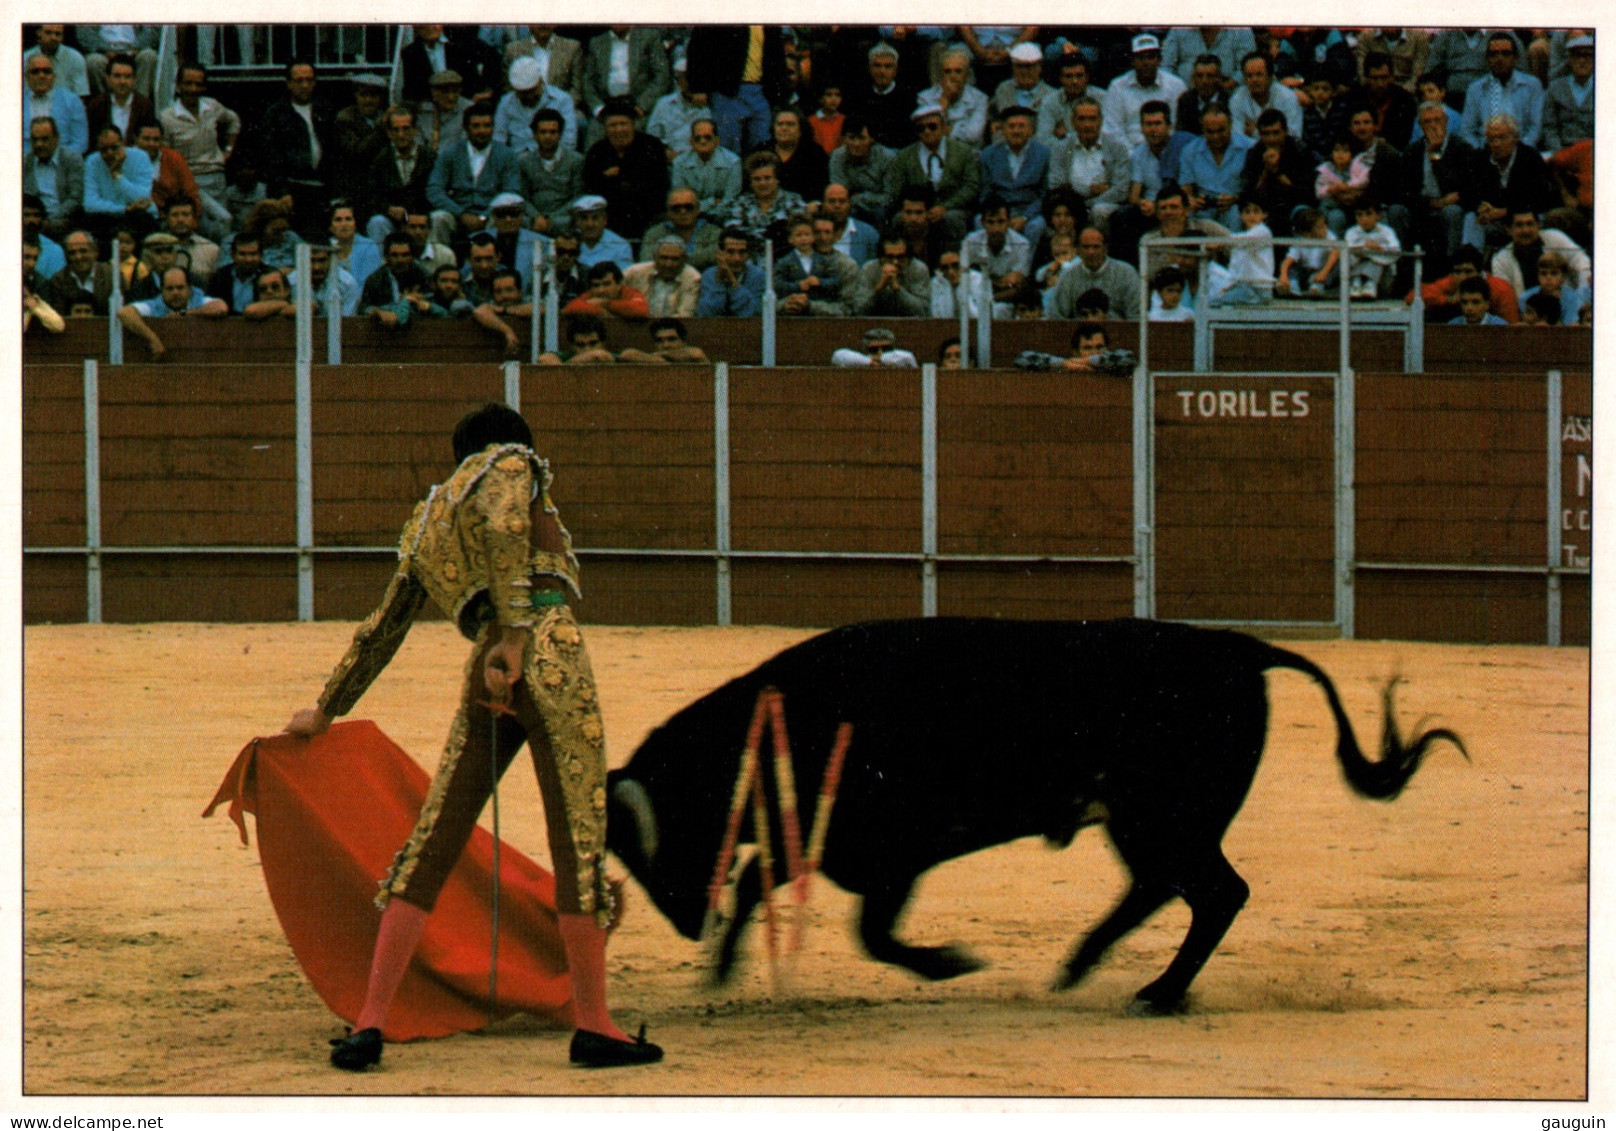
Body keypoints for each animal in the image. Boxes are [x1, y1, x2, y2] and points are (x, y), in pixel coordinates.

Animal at [607, 617, 1467, 1014]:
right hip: (1146, 823)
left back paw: (1153, 991)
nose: (689, 922)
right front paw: (721, 968)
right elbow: (767, 881)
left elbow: (868, 929)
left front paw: (953, 961)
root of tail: (1240, 647)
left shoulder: (888, 853)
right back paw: (1084, 967)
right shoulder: (833, 846)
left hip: (1166, 818)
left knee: (1214, 893)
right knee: (1169, 889)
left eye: (661, 840)